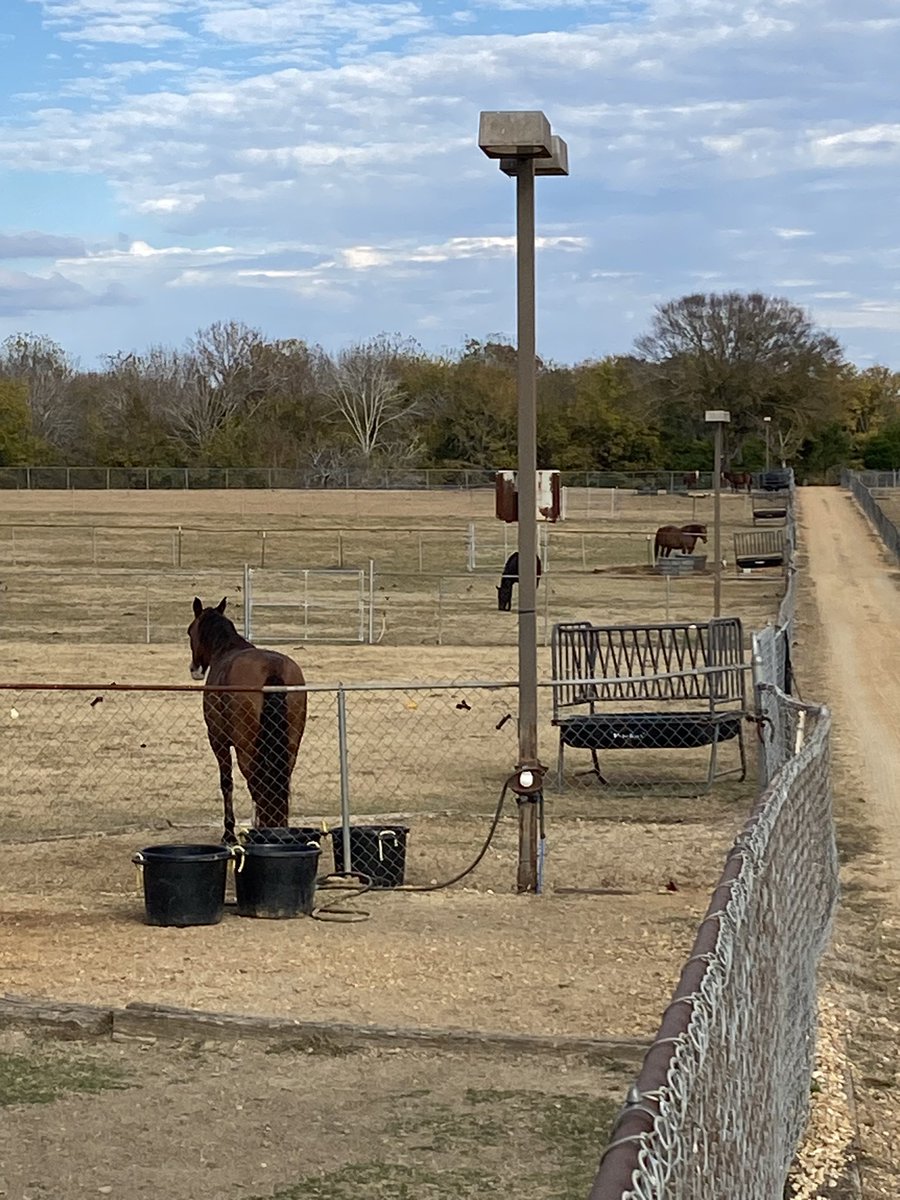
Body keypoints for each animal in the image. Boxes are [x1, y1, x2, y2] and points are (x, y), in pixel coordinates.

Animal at [187, 597, 308, 843]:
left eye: (189, 631)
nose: (194, 668)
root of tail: (272, 669)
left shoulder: (219, 741)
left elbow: (227, 783)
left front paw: (229, 833)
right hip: (291, 746)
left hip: (247, 748)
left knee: (256, 783)